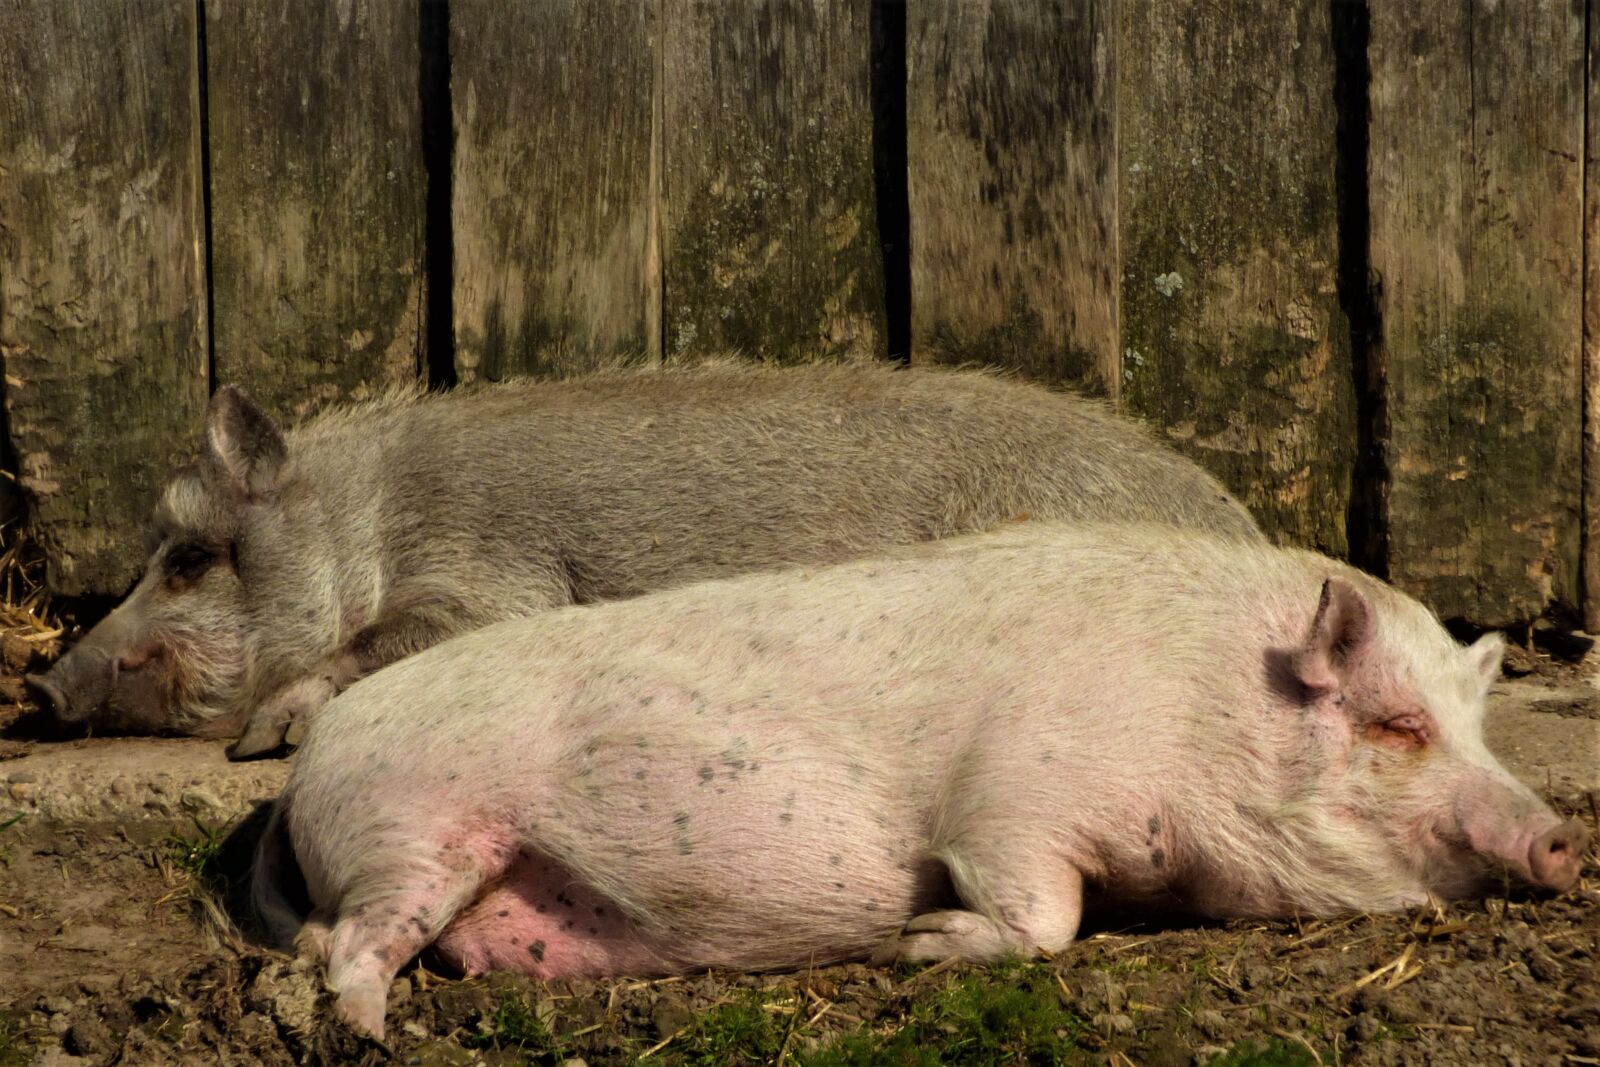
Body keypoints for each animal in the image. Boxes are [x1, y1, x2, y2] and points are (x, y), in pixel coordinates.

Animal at [28, 358, 1261, 756]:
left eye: (191, 559)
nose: (39, 680)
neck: (371, 520)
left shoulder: (495, 580)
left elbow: (395, 638)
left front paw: (266, 740)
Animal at [251, 522, 1590, 1038]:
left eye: (1476, 725)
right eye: (1397, 724)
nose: (1561, 838)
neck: (1201, 717)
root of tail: (311, 766)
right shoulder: (1010, 796)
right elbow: (1042, 914)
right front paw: (918, 941)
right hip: (411, 827)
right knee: (352, 942)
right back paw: (369, 1032)